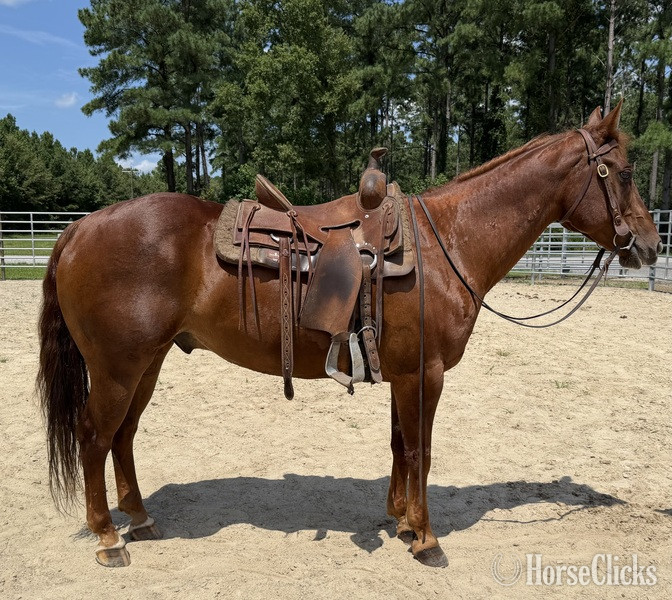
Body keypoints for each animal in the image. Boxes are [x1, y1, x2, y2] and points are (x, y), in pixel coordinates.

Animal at [37, 101, 662, 568]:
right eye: (626, 173)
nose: (653, 245)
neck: (447, 242)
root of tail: (80, 228)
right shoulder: (426, 372)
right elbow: (422, 449)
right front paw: (427, 539)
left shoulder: (404, 371)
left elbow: (400, 445)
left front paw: (402, 521)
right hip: (118, 367)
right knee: (94, 435)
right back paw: (107, 537)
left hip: (148, 362)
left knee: (123, 436)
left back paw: (139, 520)